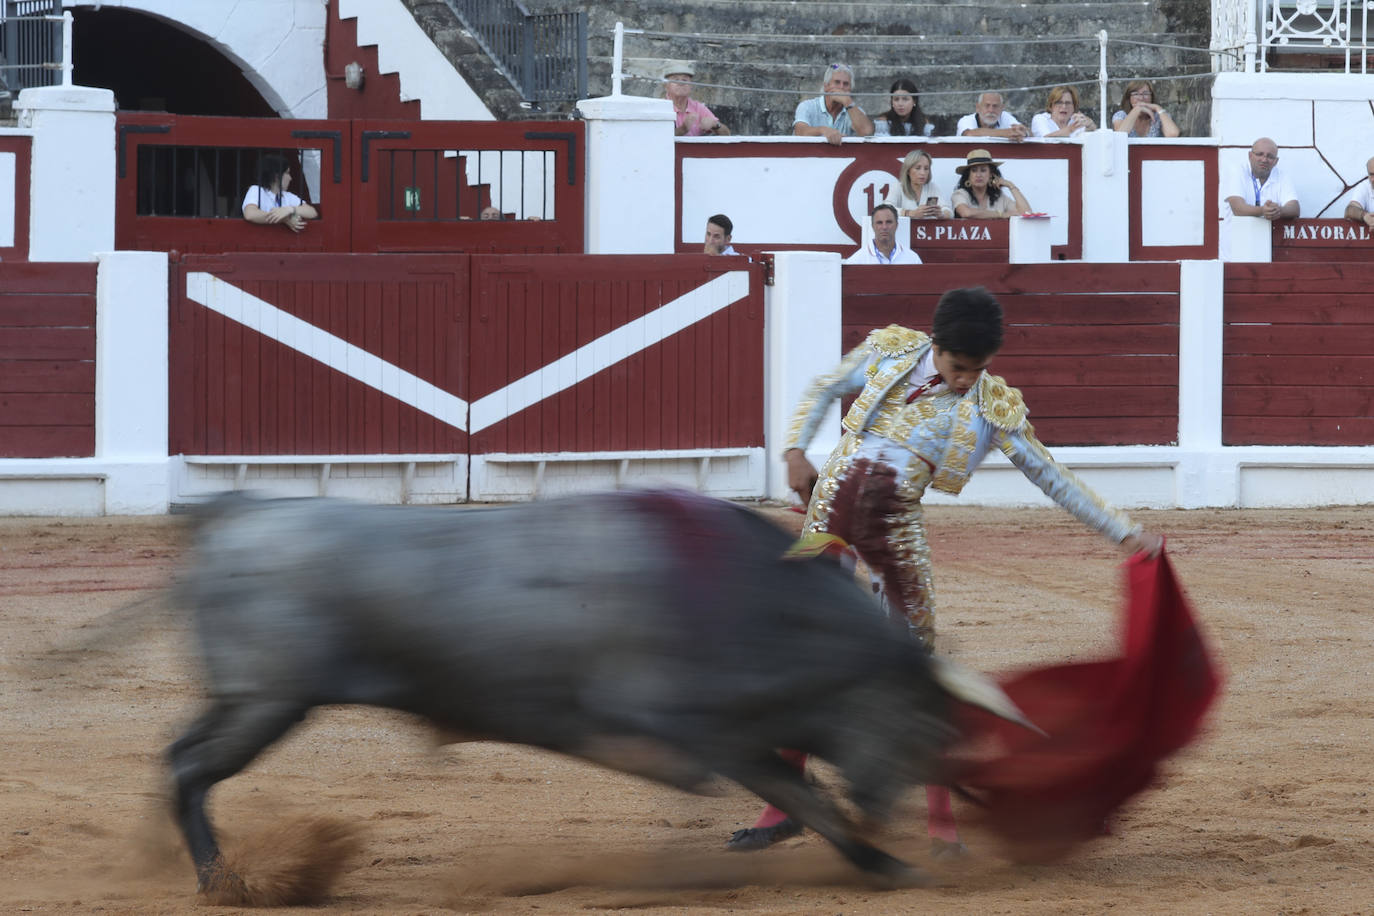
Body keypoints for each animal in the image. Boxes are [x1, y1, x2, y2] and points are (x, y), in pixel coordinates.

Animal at [169, 491, 1033, 900]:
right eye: (919, 721)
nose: (885, 804)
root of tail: (239, 513)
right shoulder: (711, 734)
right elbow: (808, 799)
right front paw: (890, 864)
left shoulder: (734, 737)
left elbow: (805, 797)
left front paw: (885, 859)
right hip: (267, 702)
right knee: (189, 771)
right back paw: (221, 882)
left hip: (247, 700)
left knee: (181, 757)